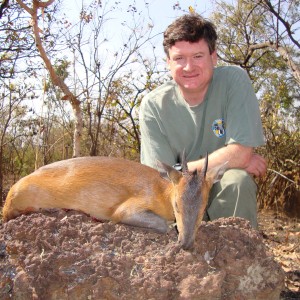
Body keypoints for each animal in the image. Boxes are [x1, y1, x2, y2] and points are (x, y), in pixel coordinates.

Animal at [2, 154, 226, 250]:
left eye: (203, 209)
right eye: (177, 205)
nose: (186, 244)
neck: (162, 192)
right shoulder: (125, 211)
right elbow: (163, 225)